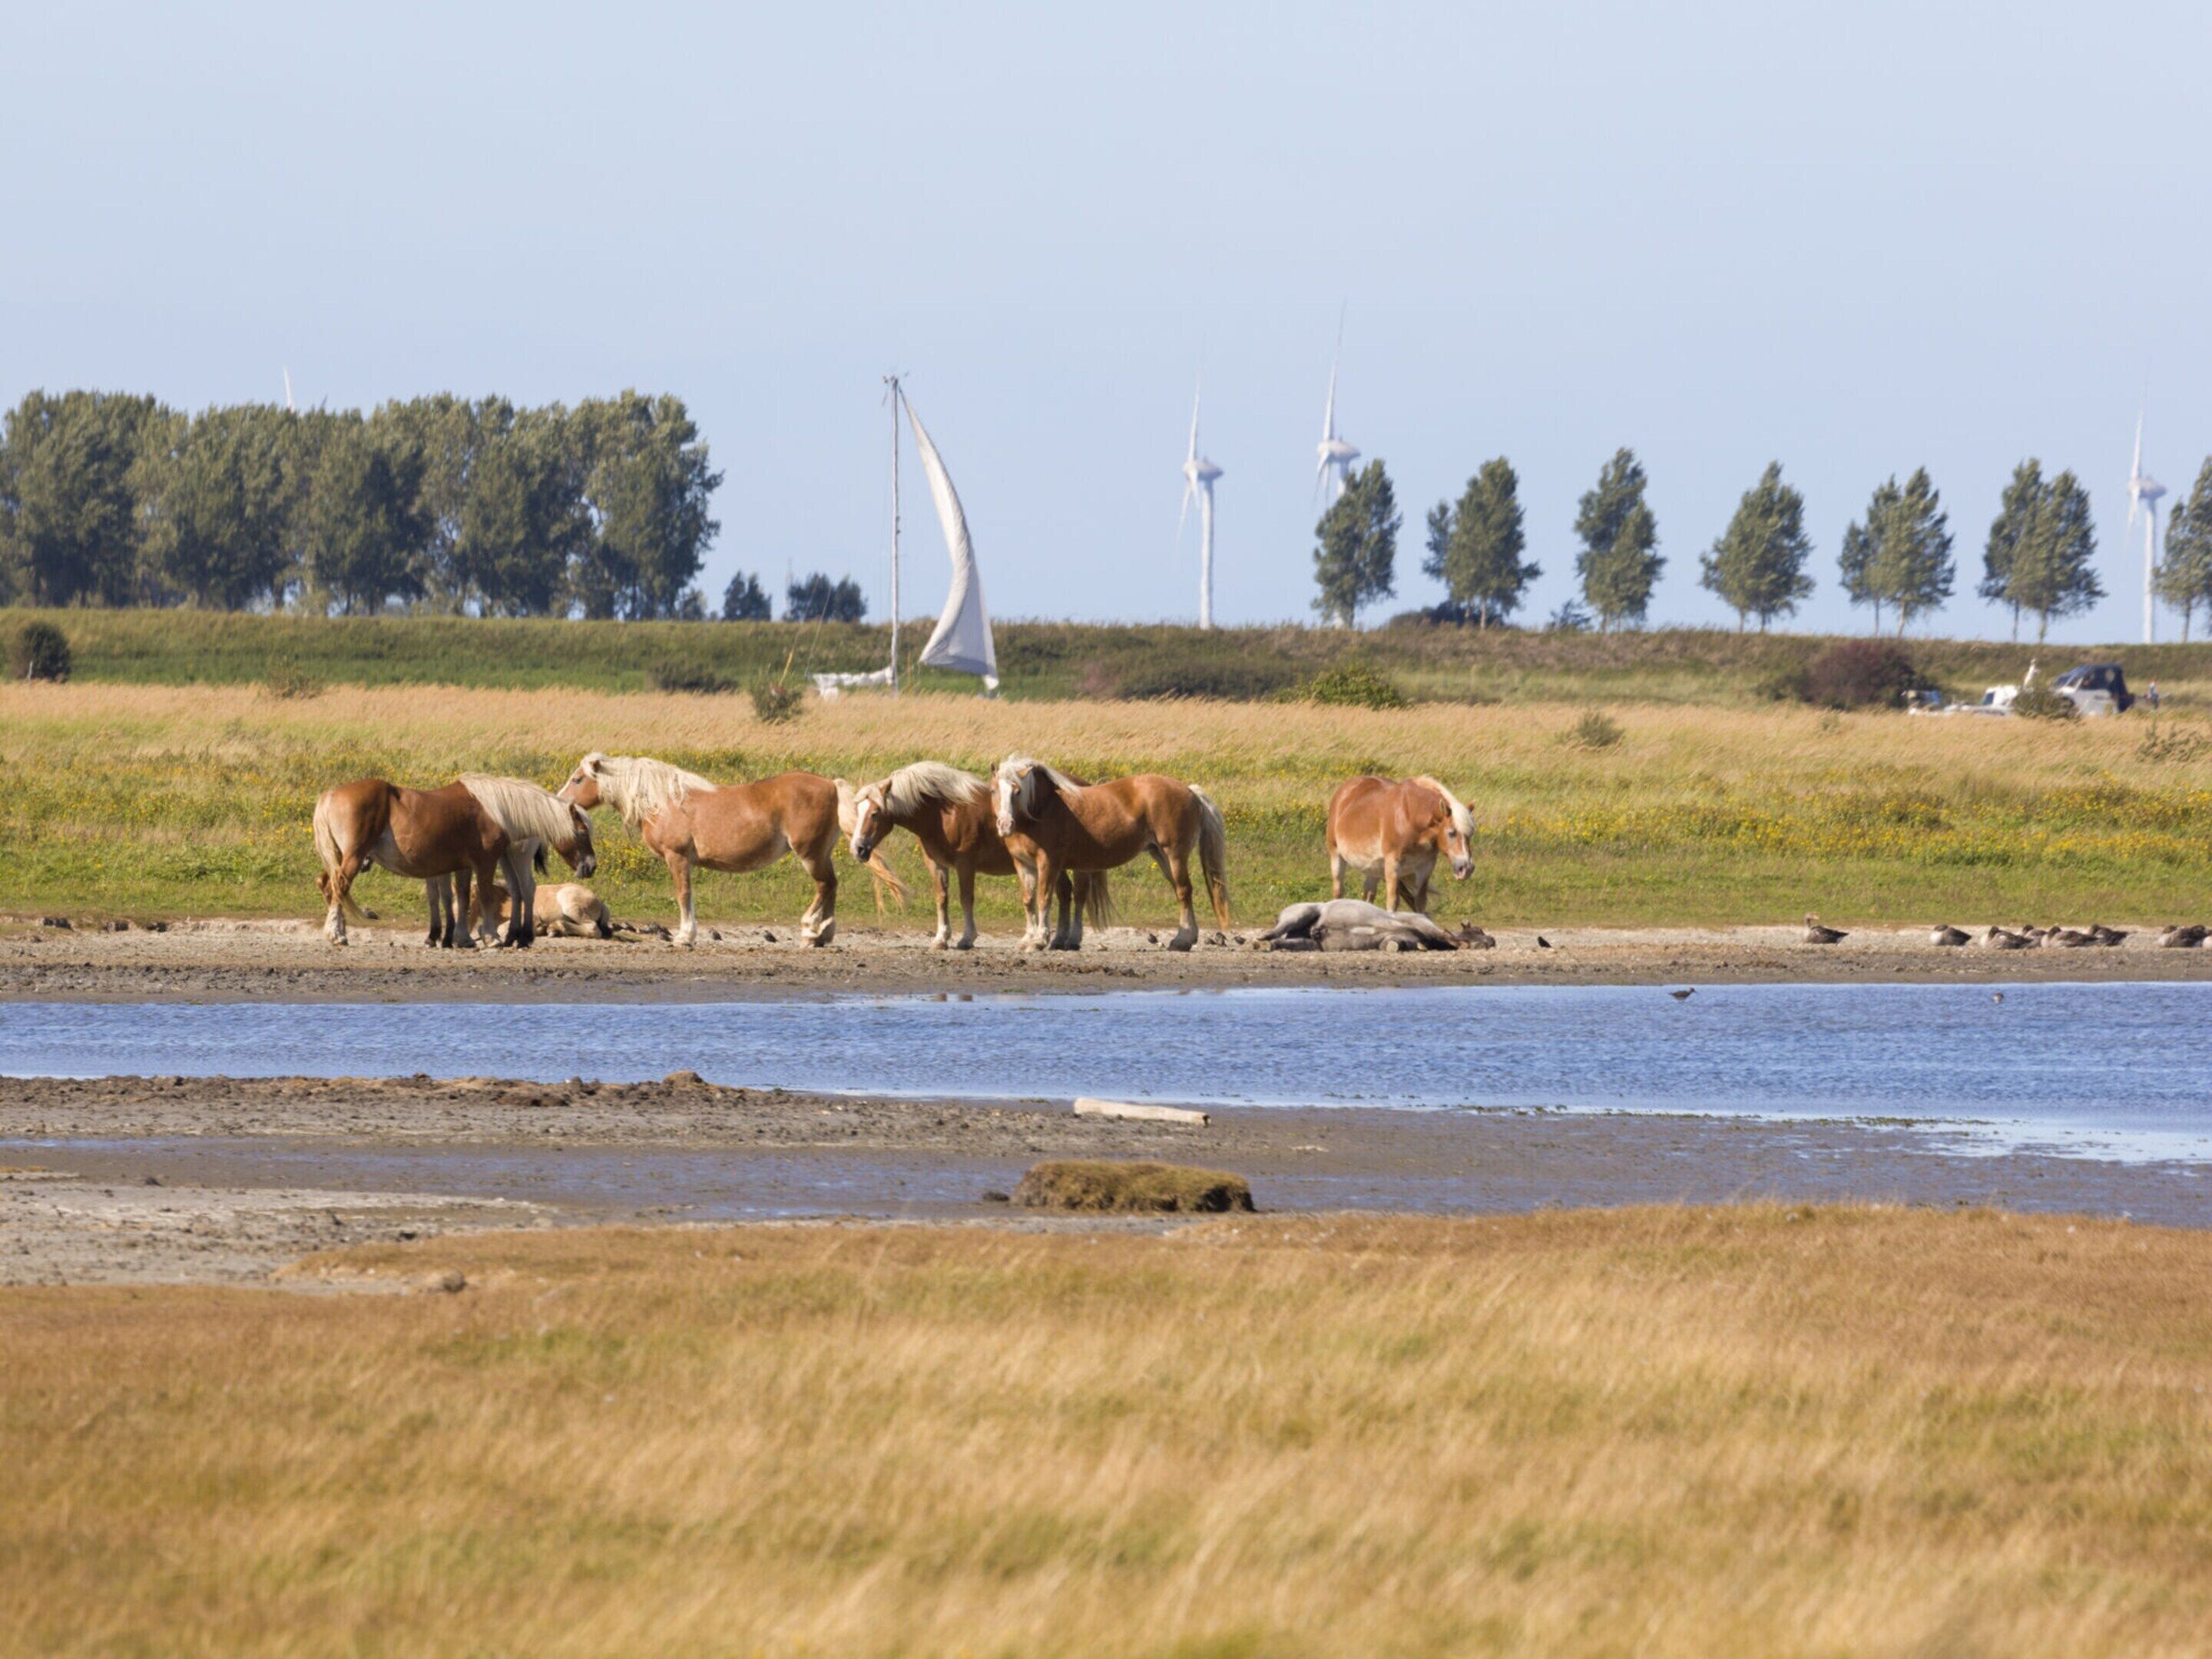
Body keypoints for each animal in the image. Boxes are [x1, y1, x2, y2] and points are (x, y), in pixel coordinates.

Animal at [312, 775, 596, 949]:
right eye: (582, 832)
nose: (591, 866)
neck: (496, 810)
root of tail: (331, 794)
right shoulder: (484, 862)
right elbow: (483, 895)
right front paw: (490, 937)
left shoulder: (462, 865)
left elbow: (460, 898)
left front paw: (460, 938)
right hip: (353, 857)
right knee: (338, 886)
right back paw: (336, 934)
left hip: (340, 857)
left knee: (327, 885)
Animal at [557, 752, 902, 947]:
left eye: (578, 779)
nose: (562, 803)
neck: (664, 802)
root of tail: (830, 784)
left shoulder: (677, 858)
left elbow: (683, 895)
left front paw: (685, 936)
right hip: (821, 855)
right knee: (831, 886)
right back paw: (822, 935)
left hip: (810, 855)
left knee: (825, 885)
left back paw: (811, 930)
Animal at [842, 761, 1110, 950]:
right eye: (858, 810)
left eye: (875, 813)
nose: (858, 849)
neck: (943, 814)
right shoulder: (936, 864)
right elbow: (942, 898)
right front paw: (941, 939)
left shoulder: (965, 864)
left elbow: (966, 899)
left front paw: (966, 938)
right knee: (1064, 893)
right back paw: (1058, 940)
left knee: (1079, 895)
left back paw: (1073, 938)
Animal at [992, 755, 1229, 952]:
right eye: (994, 791)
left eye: (1018, 791)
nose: (1005, 825)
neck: (1042, 809)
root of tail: (1190, 791)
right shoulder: (1023, 864)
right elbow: (1028, 900)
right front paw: (1028, 939)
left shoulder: (1048, 863)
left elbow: (1043, 899)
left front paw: (1040, 940)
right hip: (1161, 855)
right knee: (1180, 891)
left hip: (1175, 854)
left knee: (1184, 891)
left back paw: (1182, 940)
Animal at [1324, 775, 1475, 914]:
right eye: (1451, 833)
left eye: (1471, 834)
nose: (1467, 868)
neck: (1410, 816)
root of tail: (1344, 791)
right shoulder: (1393, 864)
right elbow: (1393, 902)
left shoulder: (1426, 866)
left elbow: (1420, 903)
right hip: (1337, 856)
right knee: (1338, 891)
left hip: (1373, 868)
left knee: (1369, 894)